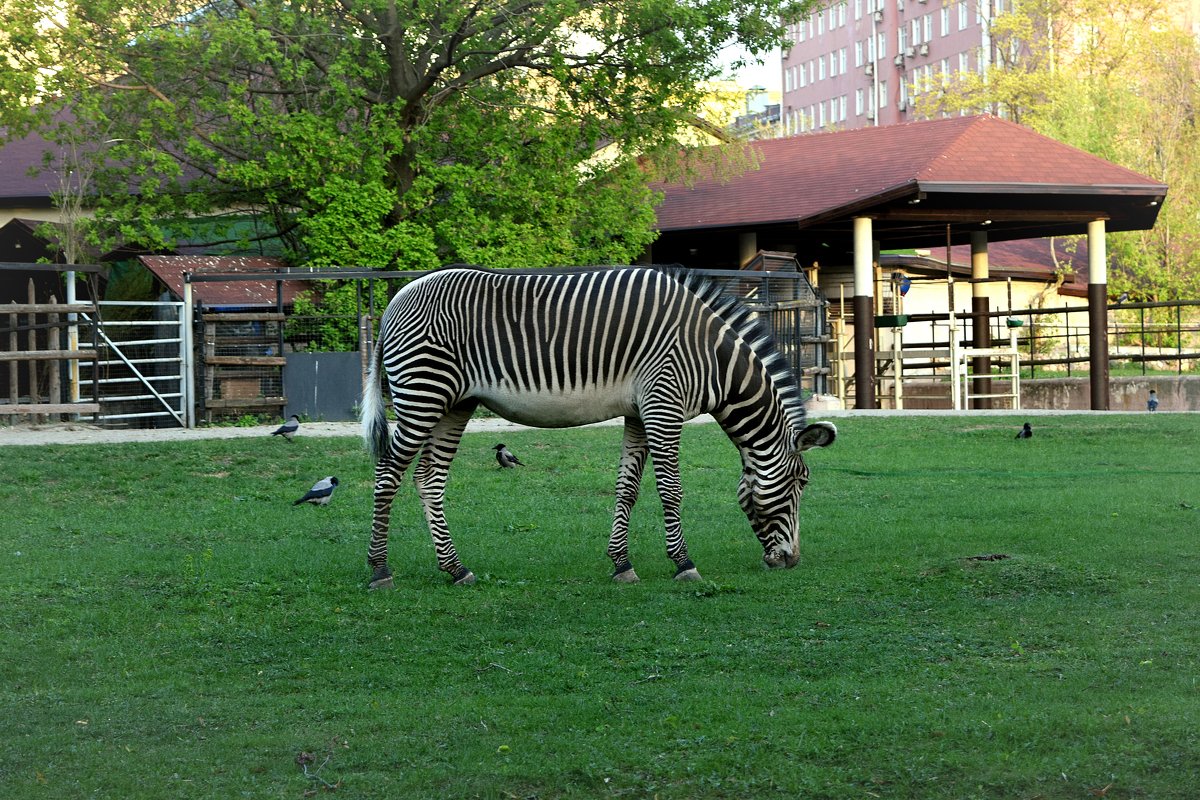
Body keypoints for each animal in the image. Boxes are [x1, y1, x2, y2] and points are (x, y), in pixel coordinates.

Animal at [360, 266, 840, 585]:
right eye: (801, 482)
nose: (791, 561)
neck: (714, 361)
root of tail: (395, 300)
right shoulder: (663, 404)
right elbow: (670, 489)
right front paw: (684, 564)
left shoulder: (640, 412)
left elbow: (627, 488)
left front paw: (622, 564)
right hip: (424, 392)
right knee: (388, 474)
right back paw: (380, 569)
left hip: (454, 403)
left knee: (428, 479)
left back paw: (455, 568)